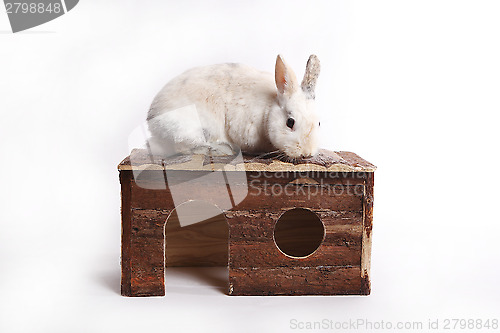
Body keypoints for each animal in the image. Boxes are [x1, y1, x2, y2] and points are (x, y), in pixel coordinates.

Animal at [147, 54, 320, 158]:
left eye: (319, 123)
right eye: (290, 122)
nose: (307, 153)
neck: (269, 107)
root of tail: (152, 120)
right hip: (194, 128)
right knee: (183, 147)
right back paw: (222, 150)